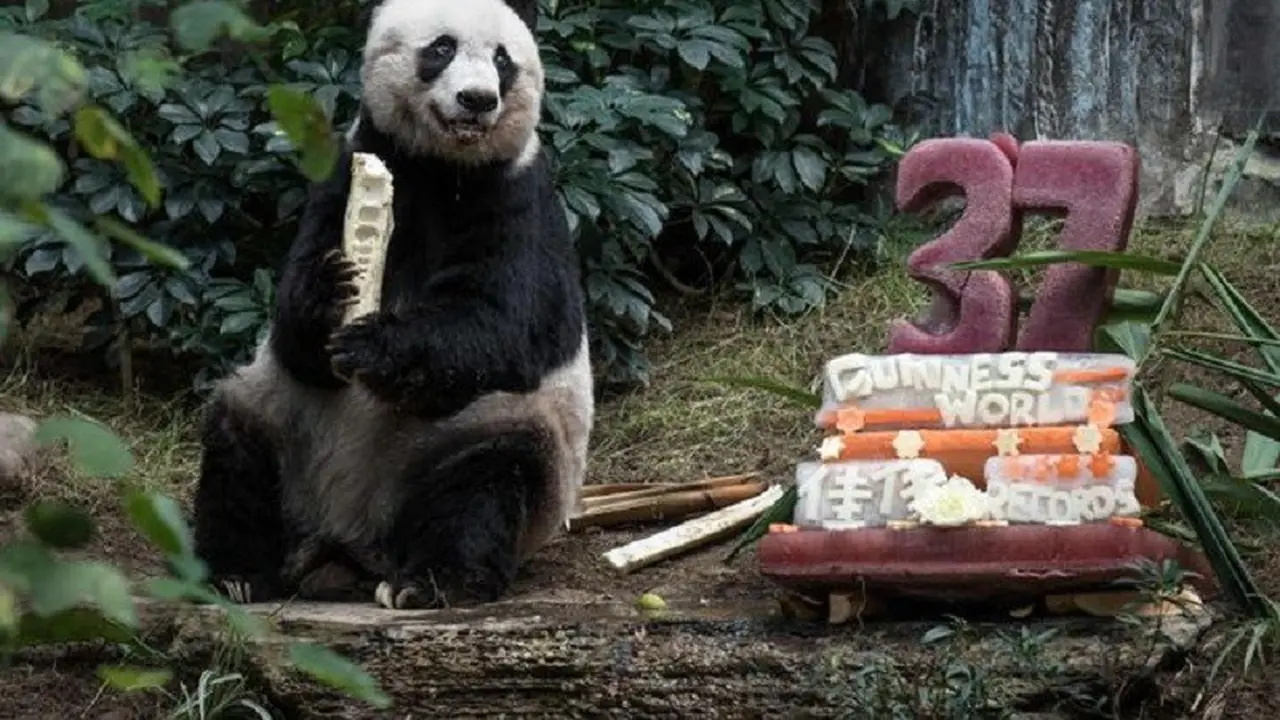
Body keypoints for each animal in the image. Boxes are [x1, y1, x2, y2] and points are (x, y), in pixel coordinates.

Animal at [189, 0, 594, 610]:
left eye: (503, 61)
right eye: (442, 48)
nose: (478, 100)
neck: (439, 168)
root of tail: (349, 540)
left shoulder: (517, 196)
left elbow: (500, 322)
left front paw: (373, 345)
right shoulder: (347, 170)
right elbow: (294, 333)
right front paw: (331, 294)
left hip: (472, 436)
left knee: (487, 476)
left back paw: (433, 581)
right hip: (283, 421)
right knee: (238, 449)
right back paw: (235, 573)